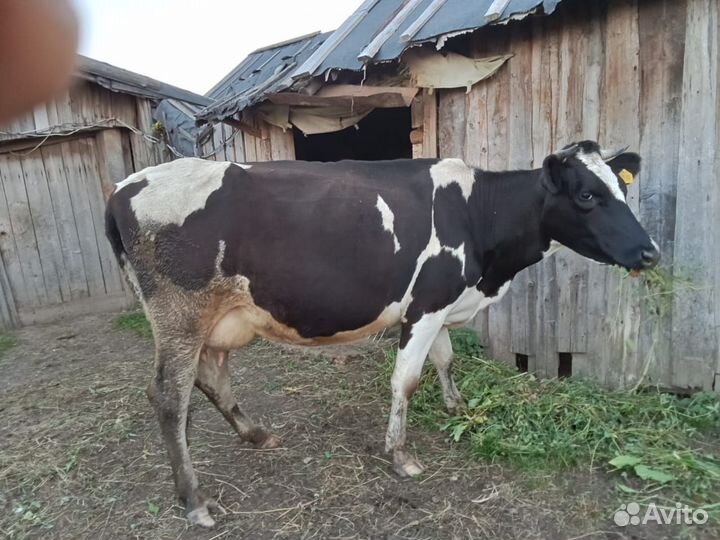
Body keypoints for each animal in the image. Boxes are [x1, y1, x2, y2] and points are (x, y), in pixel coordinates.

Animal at [105, 140, 659, 527]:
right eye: (587, 195)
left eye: (623, 190)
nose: (650, 252)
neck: (479, 219)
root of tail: (124, 186)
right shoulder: (426, 305)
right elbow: (406, 380)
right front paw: (401, 455)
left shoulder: (437, 305)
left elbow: (445, 359)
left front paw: (457, 407)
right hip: (179, 313)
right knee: (169, 397)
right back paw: (194, 500)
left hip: (219, 319)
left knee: (211, 378)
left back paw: (255, 434)